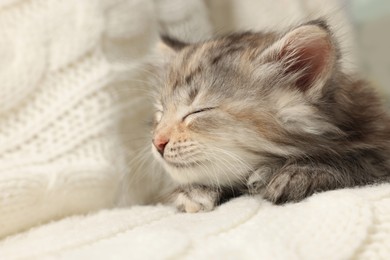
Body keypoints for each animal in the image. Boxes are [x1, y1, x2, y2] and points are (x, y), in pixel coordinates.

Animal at [150, 19, 390, 212]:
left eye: (198, 111)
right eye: (160, 113)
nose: (157, 142)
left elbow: (360, 159)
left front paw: (302, 173)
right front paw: (193, 190)